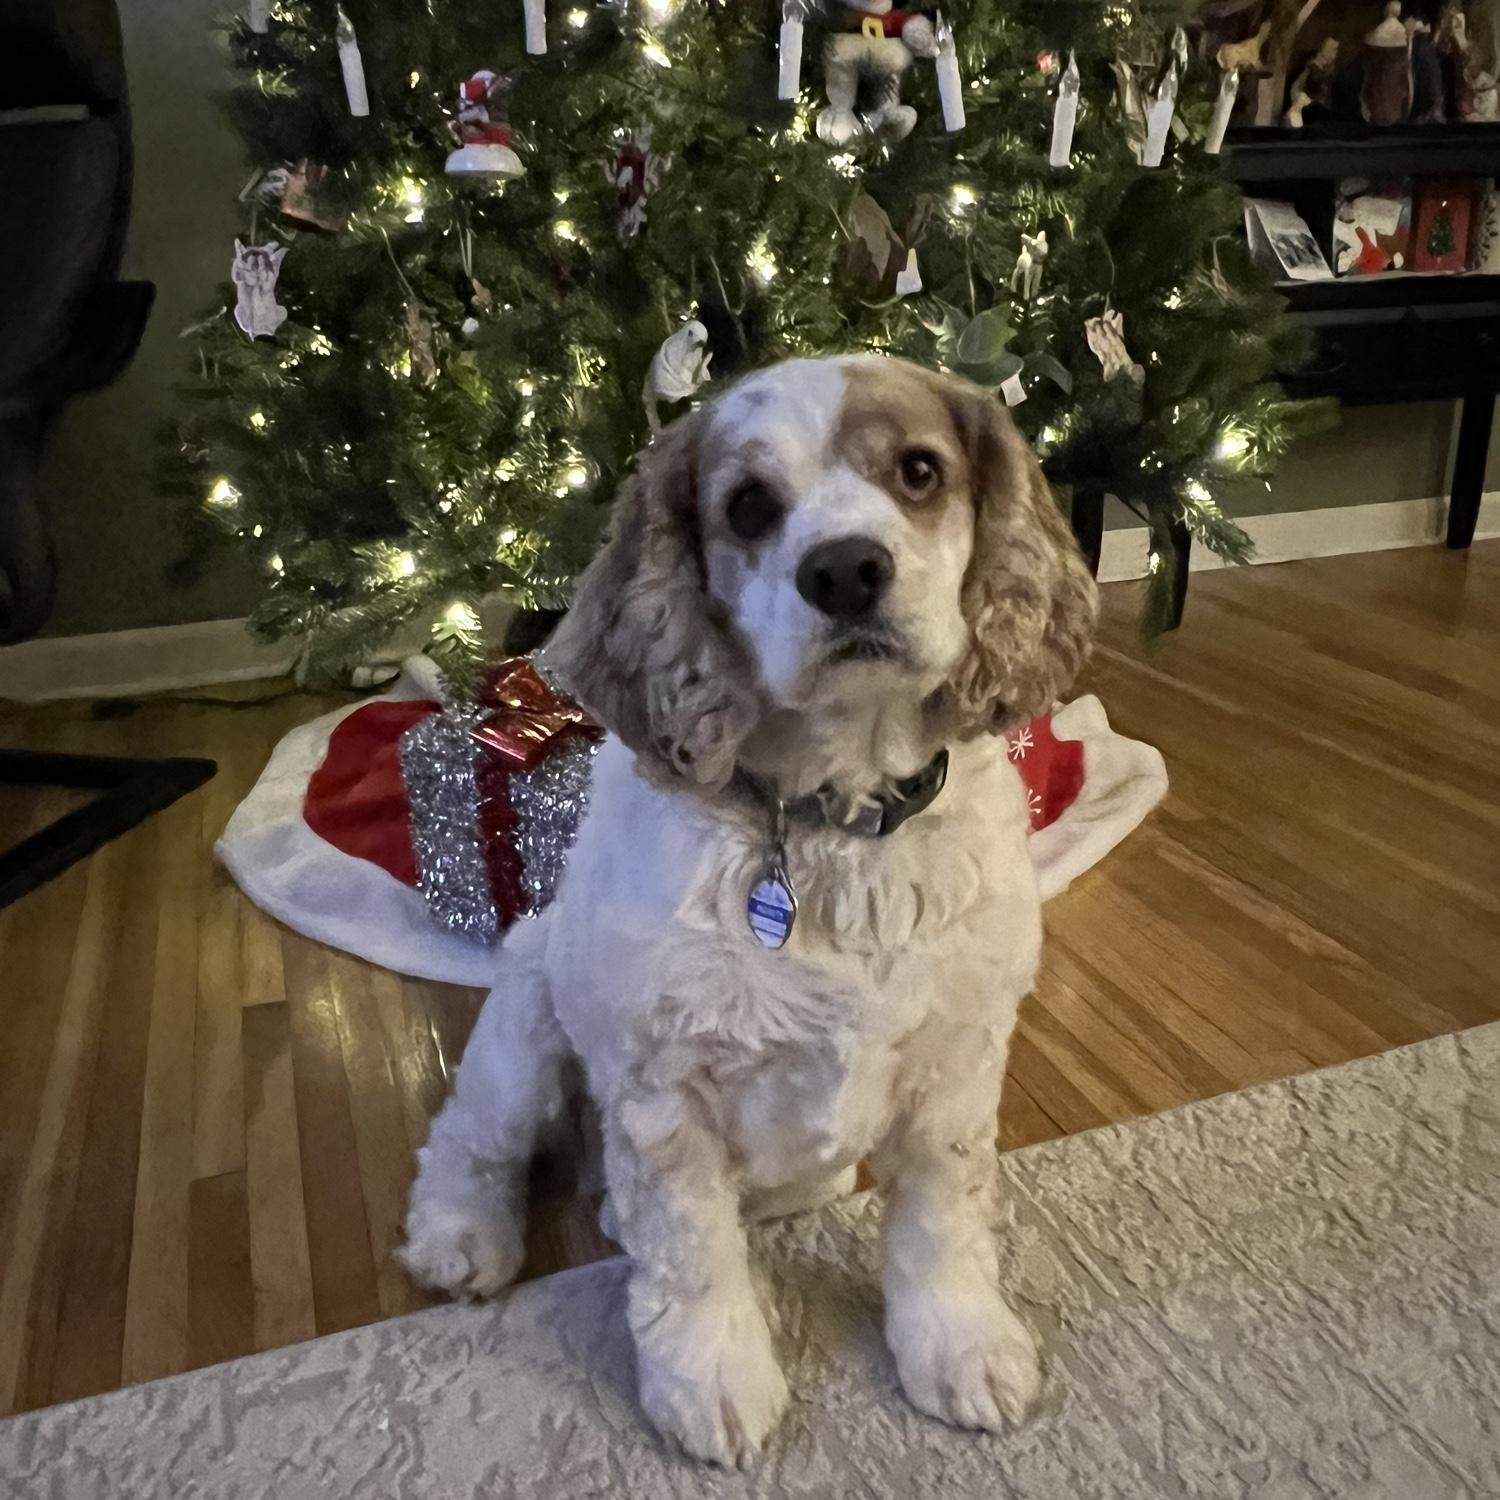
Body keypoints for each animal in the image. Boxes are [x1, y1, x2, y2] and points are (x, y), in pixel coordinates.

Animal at [400, 353, 1098, 1466]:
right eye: (749, 508)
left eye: (919, 470)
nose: (846, 570)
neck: (836, 821)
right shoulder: (662, 1091)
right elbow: (692, 1255)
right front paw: (716, 1385)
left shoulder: (956, 1061)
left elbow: (944, 1219)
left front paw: (963, 1350)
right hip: (529, 1005)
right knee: (471, 1137)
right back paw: (461, 1236)